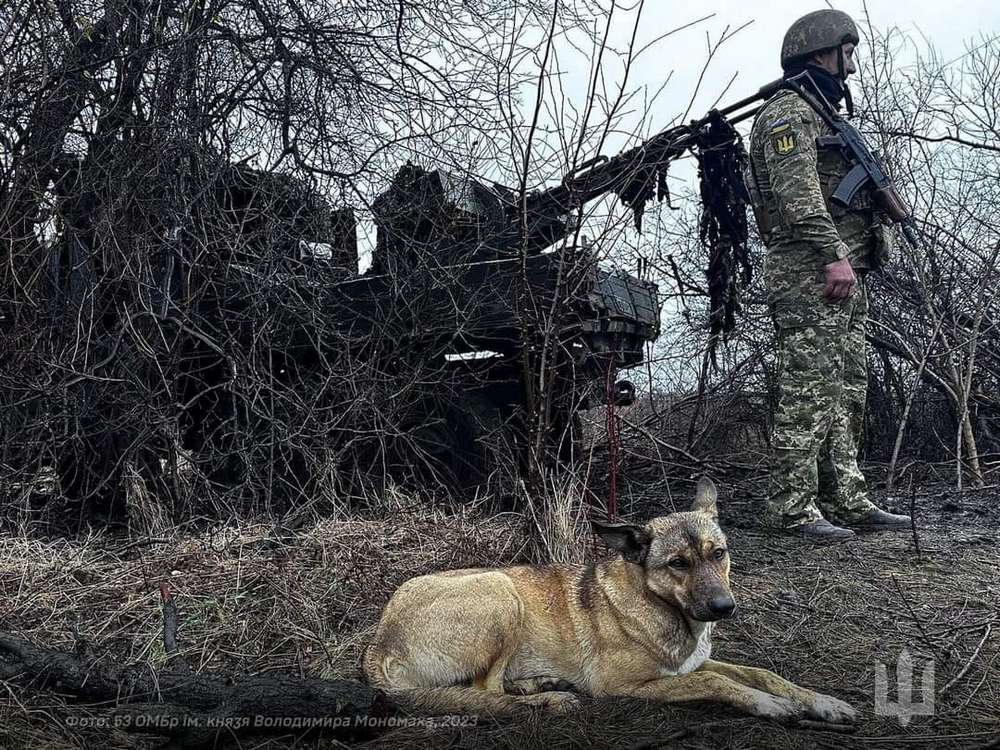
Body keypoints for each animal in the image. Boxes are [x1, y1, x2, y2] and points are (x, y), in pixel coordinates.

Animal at [364, 478, 856, 724]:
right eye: (678, 563)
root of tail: (378, 643)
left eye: (719, 553)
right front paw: (770, 706)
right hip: (501, 592)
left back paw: (539, 684)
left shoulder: (691, 663)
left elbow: (761, 673)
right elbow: (717, 682)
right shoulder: (629, 684)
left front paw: (821, 702)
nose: (724, 609)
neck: (662, 608)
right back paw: (547, 700)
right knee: (485, 692)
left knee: (490, 688)